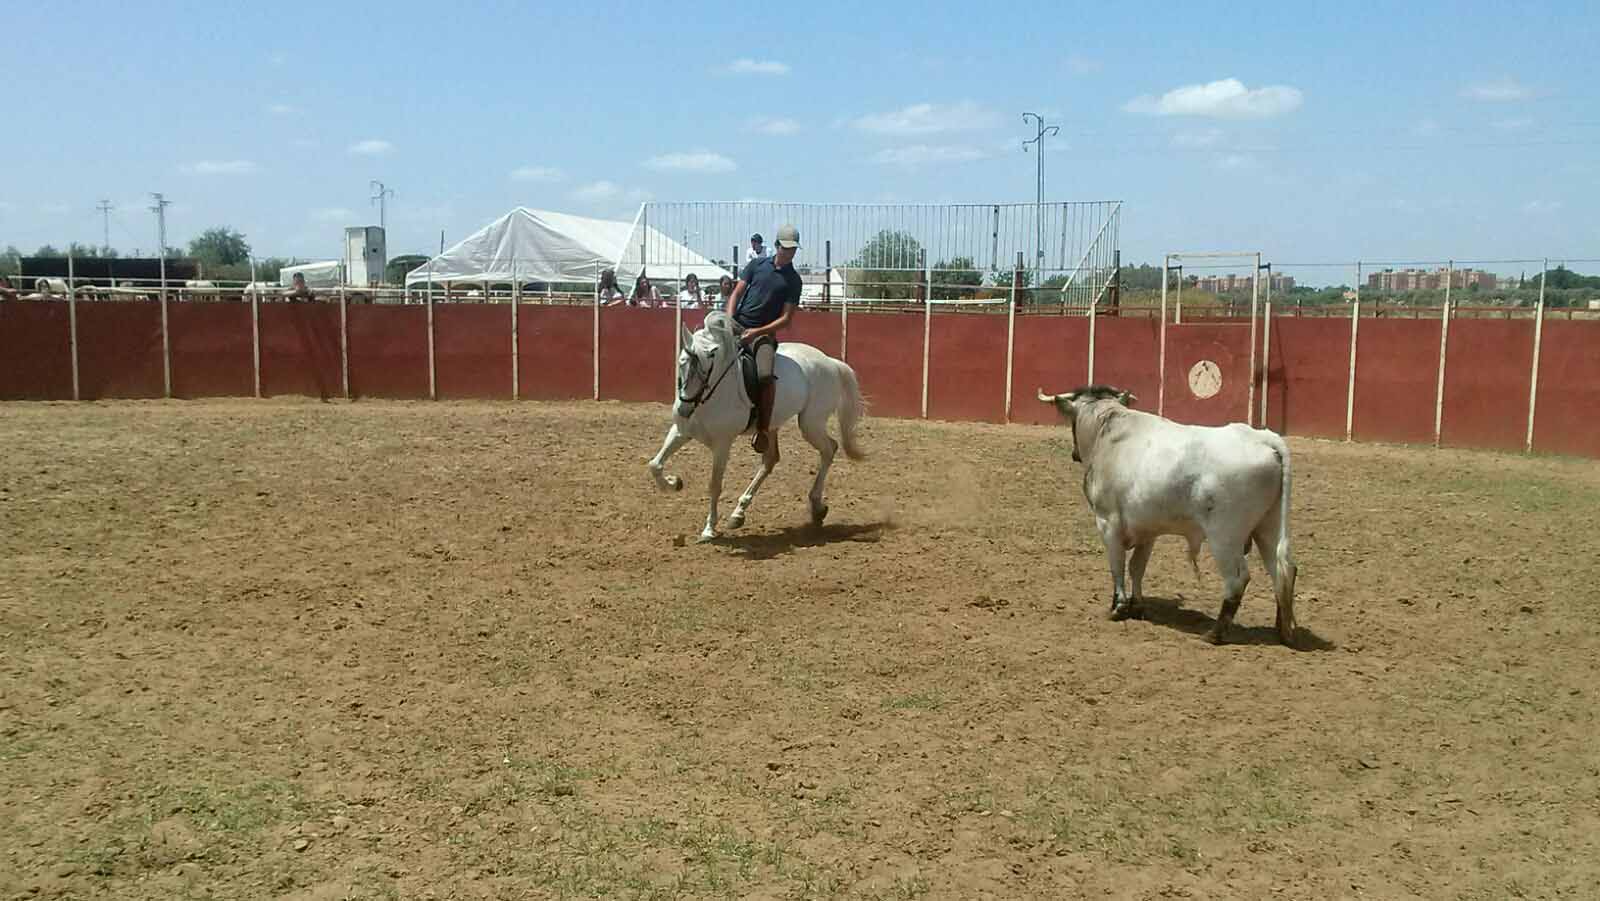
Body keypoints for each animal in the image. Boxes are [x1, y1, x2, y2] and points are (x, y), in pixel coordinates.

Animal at [646, 310, 864, 540]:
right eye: (681, 363)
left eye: (707, 369)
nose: (684, 410)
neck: (710, 396)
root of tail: (829, 361)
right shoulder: (681, 431)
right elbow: (654, 465)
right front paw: (674, 483)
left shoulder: (722, 444)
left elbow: (714, 485)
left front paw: (709, 529)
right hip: (773, 426)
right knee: (770, 461)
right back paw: (739, 513)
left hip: (810, 423)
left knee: (829, 448)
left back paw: (816, 507)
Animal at [1036, 384, 1299, 646]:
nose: (1074, 453)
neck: (1108, 432)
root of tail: (1265, 439)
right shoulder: (1147, 530)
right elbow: (1137, 566)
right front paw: (1137, 606)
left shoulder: (1107, 523)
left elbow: (1117, 565)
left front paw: (1118, 608)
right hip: (1267, 527)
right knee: (1283, 569)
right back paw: (1283, 631)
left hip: (1225, 536)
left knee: (1237, 580)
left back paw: (1215, 633)